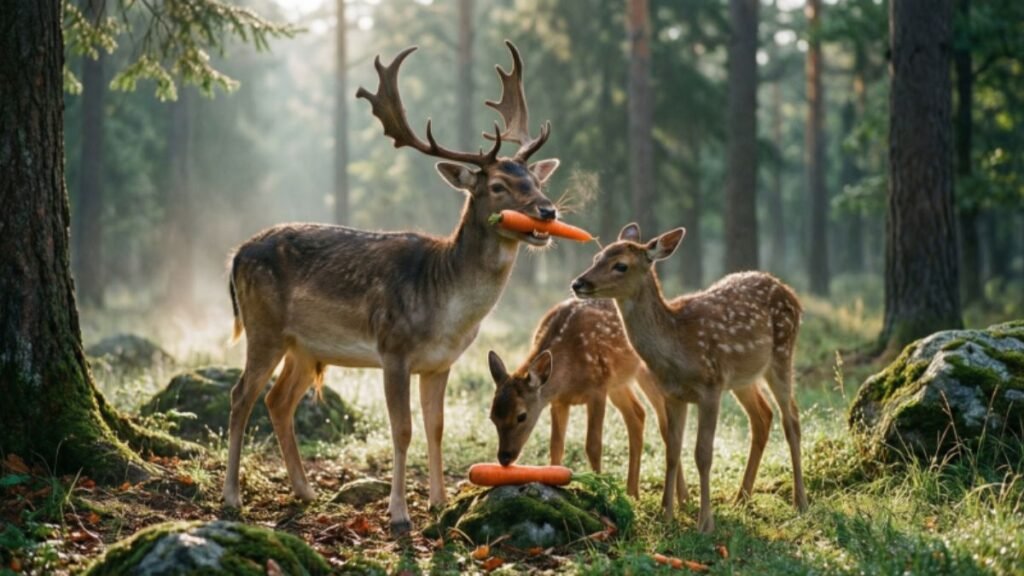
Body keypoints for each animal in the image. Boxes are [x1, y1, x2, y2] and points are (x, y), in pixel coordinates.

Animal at [223, 41, 562, 535]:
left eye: (536, 180)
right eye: (498, 185)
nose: (548, 210)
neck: (447, 305)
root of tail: (235, 255)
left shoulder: (440, 364)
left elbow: (436, 427)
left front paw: (438, 502)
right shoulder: (393, 349)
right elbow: (401, 429)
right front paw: (399, 514)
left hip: (304, 346)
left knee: (278, 399)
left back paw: (306, 492)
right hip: (262, 326)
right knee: (241, 396)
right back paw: (231, 497)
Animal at [486, 298, 687, 501]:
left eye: (521, 416)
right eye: (492, 417)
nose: (504, 457)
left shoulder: (597, 389)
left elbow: (593, 445)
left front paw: (601, 491)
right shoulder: (559, 401)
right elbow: (556, 445)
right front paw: (553, 484)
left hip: (646, 372)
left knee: (665, 423)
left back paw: (682, 499)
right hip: (618, 382)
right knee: (637, 414)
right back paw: (632, 494)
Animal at [571, 223, 808, 533]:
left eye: (620, 265)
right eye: (597, 256)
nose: (578, 283)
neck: (676, 350)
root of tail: (791, 293)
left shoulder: (710, 387)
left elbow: (703, 454)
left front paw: (705, 523)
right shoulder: (673, 394)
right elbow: (672, 451)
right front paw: (667, 515)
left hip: (782, 352)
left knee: (791, 419)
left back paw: (800, 502)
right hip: (743, 377)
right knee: (762, 416)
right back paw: (741, 498)